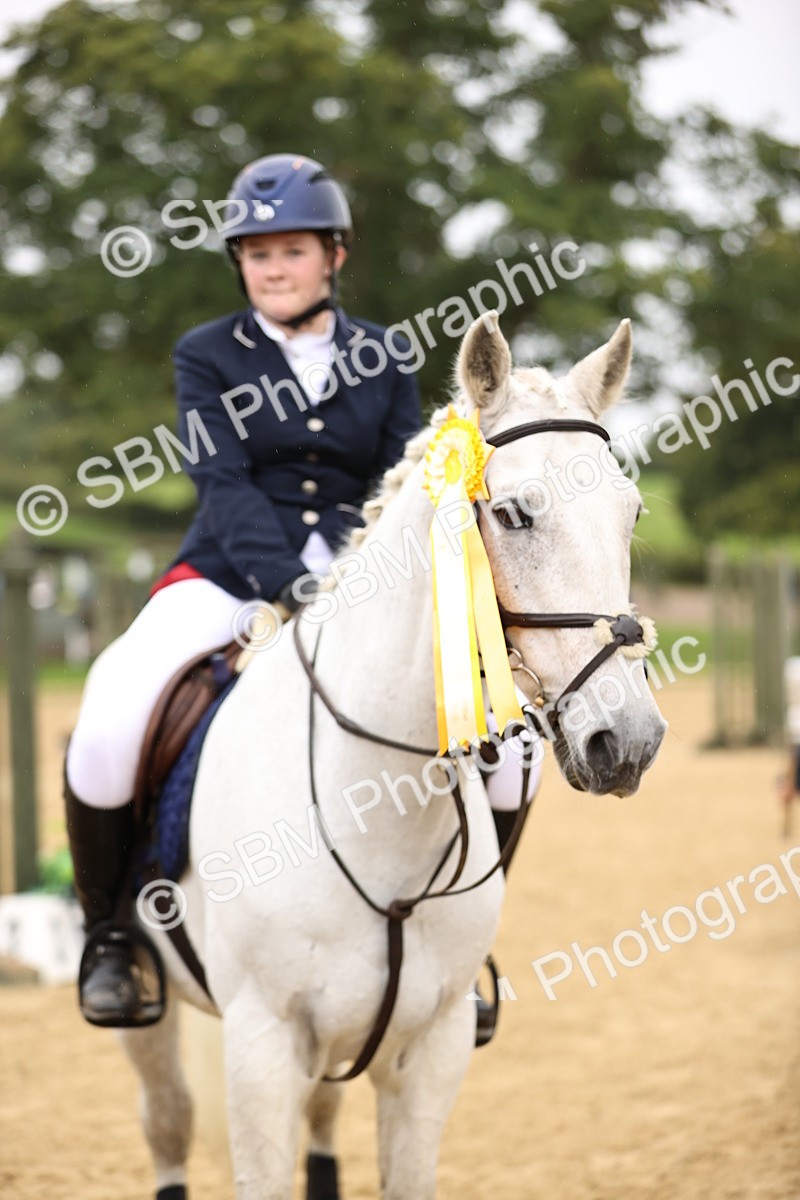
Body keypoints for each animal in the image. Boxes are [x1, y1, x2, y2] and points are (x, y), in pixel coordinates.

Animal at [117, 312, 667, 1200]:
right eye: (513, 515)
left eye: (632, 513)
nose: (630, 741)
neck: (378, 810)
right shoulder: (261, 1051)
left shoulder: (431, 1050)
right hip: (152, 1015)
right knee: (166, 1120)